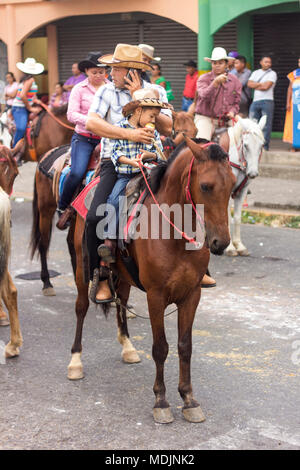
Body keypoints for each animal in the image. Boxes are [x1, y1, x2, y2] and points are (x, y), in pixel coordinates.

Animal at [68, 138, 237, 424]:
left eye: (233, 185)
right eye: (205, 186)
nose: (221, 242)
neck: (173, 233)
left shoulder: (191, 295)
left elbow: (185, 346)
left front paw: (188, 399)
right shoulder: (155, 296)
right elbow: (161, 348)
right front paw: (161, 401)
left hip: (124, 276)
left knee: (121, 302)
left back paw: (127, 347)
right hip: (82, 266)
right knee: (81, 308)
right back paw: (75, 362)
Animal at [226, 116, 266, 258]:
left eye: (262, 145)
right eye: (245, 145)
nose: (252, 173)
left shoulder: (241, 192)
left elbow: (237, 218)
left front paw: (239, 245)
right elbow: (227, 217)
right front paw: (229, 247)